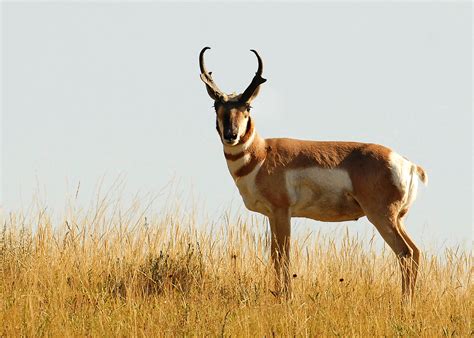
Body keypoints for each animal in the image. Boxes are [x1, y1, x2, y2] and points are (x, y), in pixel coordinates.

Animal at [198, 46, 428, 300]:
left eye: (248, 107)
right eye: (216, 106)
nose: (231, 135)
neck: (262, 153)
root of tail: (407, 163)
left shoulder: (282, 212)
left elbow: (283, 257)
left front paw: (286, 298)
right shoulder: (271, 215)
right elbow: (275, 256)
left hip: (381, 215)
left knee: (405, 253)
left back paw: (405, 303)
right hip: (397, 218)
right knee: (415, 252)